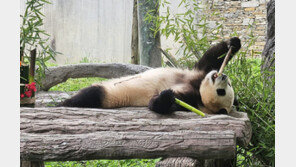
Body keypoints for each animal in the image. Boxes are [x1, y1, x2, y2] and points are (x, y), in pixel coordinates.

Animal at [59, 36, 240, 115]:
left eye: (222, 92)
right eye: (228, 86)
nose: (223, 77)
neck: (199, 91)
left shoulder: (192, 100)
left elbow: (159, 104)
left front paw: (167, 96)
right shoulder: (199, 75)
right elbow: (209, 60)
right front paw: (233, 43)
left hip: (111, 95)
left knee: (91, 95)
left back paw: (64, 104)